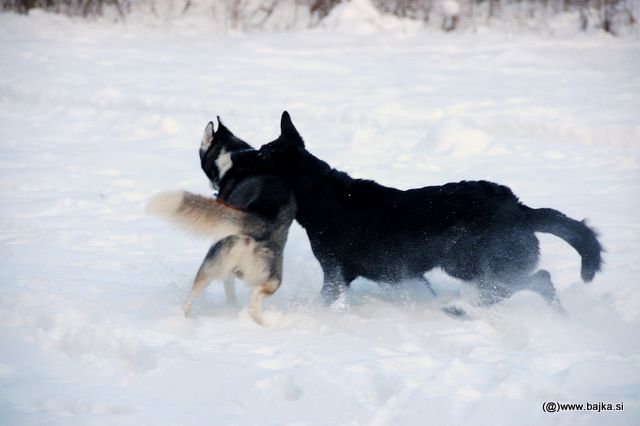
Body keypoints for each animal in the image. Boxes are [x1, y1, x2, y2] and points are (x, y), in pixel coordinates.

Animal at [232, 111, 604, 308]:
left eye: (262, 154)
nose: (235, 155)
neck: (320, 193)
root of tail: (519, 208)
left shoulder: (335, 275)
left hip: (469, 263)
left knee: (538, 280)